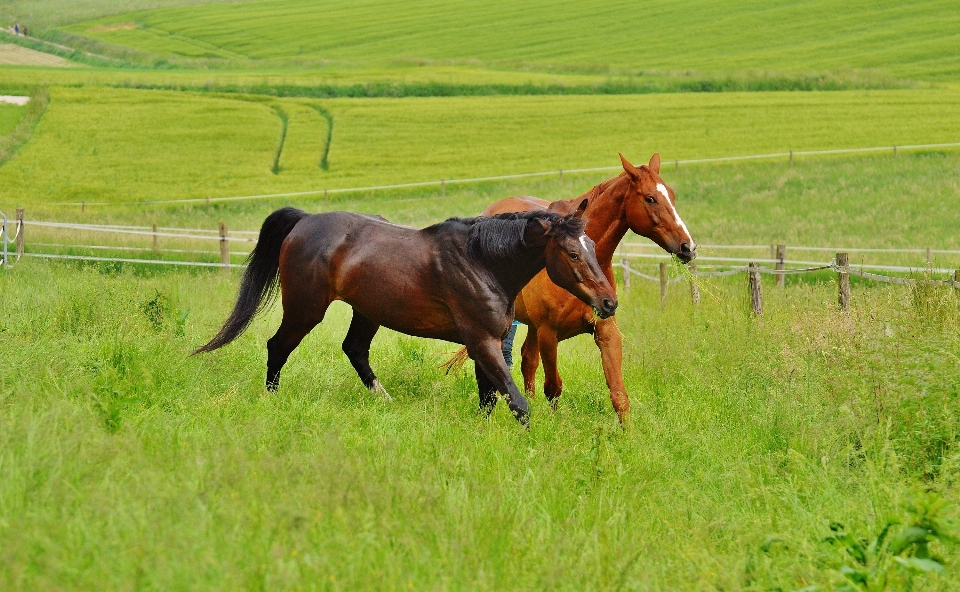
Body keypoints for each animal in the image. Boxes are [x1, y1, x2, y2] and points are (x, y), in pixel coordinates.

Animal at [194, 204, 616, 426]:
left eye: (592, 246)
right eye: (573, 253)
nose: (610, 302)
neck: (482, 262)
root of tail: (305, 220)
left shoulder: (489, 342)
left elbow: (489, 398)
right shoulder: (481, 341)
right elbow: (516, 401)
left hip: (366, 312)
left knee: (354, 349)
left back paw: (385, 400)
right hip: (305, 309)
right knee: (277, 347)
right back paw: (273, 399)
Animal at [464, 151, 688, 420]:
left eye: (672, 195)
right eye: (650, 198)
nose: (688, 246)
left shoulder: (606, 330)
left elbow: (618, 394)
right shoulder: (549, 333)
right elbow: (553, 387)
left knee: (528, 360)